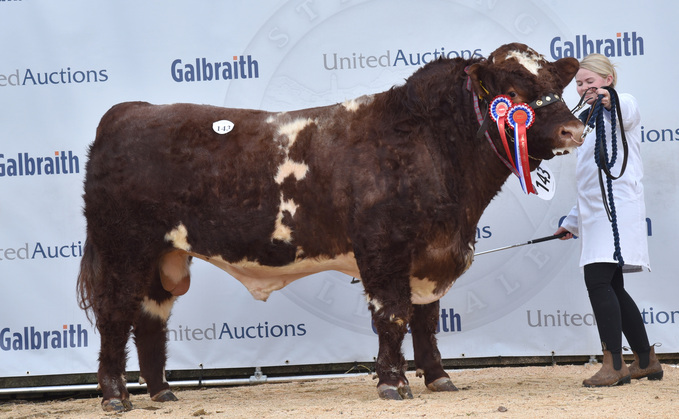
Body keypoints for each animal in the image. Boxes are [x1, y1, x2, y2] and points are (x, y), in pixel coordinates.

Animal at [77, 43, 580, 414]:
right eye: (512, 90)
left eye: (555, 84)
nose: (573, 131)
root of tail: (127, 112)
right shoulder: (383, 247)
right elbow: (393, 315)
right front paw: (393, 383)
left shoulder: (429, 255)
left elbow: (426, 319)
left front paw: (438, 377)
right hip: (124, 247)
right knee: (115, 313)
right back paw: (115, 396)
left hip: (162, 255)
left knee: (150, 318)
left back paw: (162, 392)